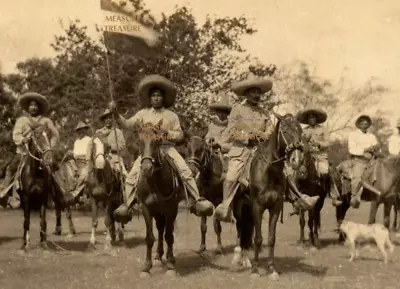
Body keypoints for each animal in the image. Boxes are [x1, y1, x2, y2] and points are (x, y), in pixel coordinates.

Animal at [135, 124, 184, 276]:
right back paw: (158, 256)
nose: (146, 168)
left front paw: (170, 265)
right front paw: (146, 267)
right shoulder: (146, 208)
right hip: (157, 212)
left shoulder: (171, 209)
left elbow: (169, 236)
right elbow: (150, 237)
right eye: (139, 142)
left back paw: (169, 257)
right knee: (160, 228)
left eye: (156, 142)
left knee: (167, 231)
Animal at [233, 113, 304, 280]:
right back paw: (240, 257)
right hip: (240, 208)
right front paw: (255, 270)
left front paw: (272, 269)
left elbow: (271, 238)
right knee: (240, 228)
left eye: (300, 131)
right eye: (285, 131)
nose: (297, 160)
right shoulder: (258, 206)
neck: (268, 171)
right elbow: (258, 238)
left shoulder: (275, 207)